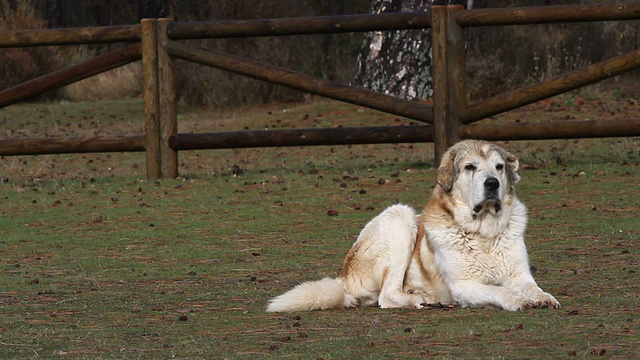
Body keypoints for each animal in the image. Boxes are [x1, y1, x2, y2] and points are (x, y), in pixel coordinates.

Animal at [264, 140, 560, 312]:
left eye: (499, 167)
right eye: (470, 168)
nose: (492, 183)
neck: (483, 232)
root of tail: (343, 277)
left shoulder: (520, 276)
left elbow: (532, 287)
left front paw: (542, 297)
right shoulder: (464, 286)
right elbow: (498, 290)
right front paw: (517, 300)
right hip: (400, 217)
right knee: (386, 296)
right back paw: (421, 299)